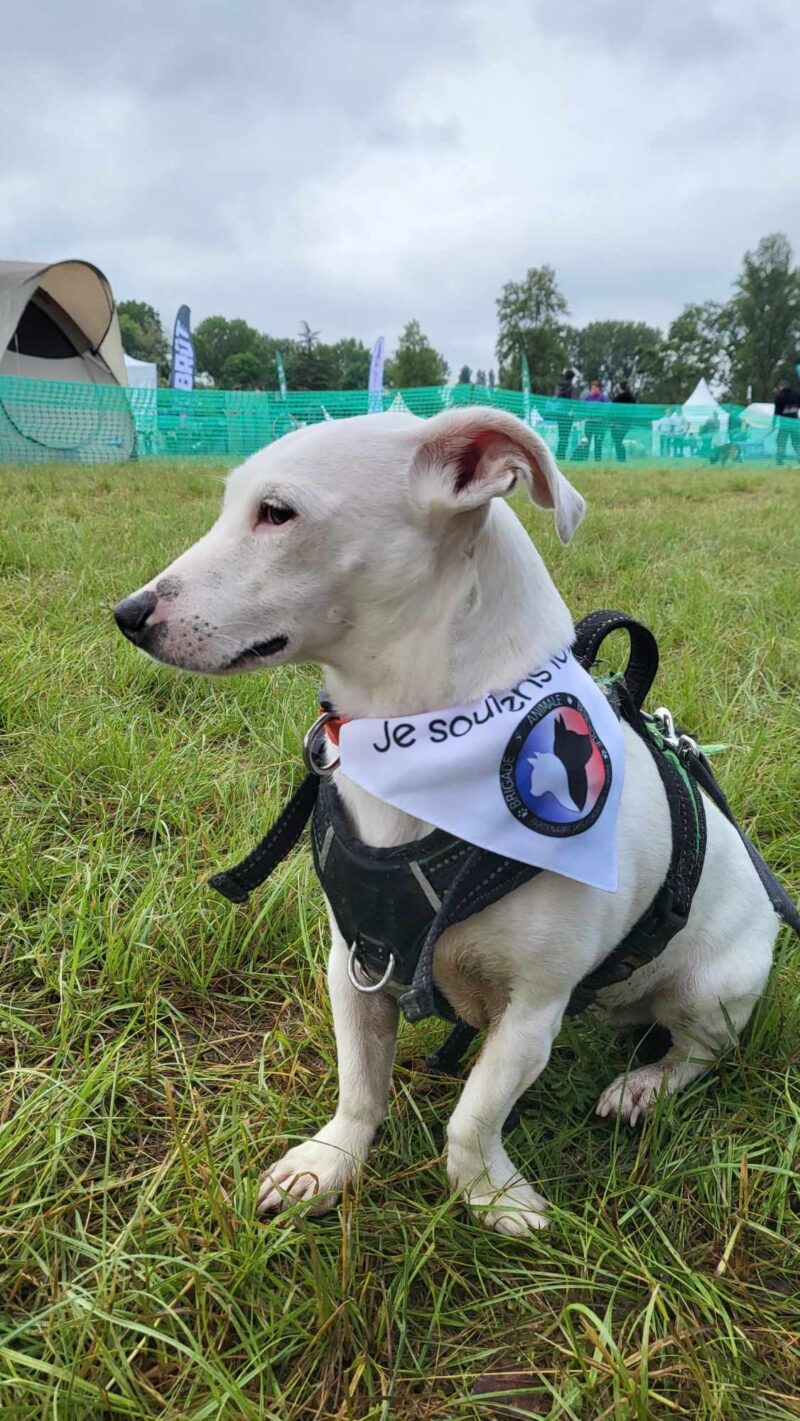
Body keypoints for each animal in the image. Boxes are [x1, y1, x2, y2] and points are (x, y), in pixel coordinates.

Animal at [115, 409, 778, 1233]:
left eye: (276, 512)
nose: (126, 615)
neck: (423, 749)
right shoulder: (355, 965)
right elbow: (360, 1085)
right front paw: (329, 1163)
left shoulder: (531, 1012)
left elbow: (474, 1113)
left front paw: (490, 1195)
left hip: (714, 989)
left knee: (699, 1053)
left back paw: (643, 1086)